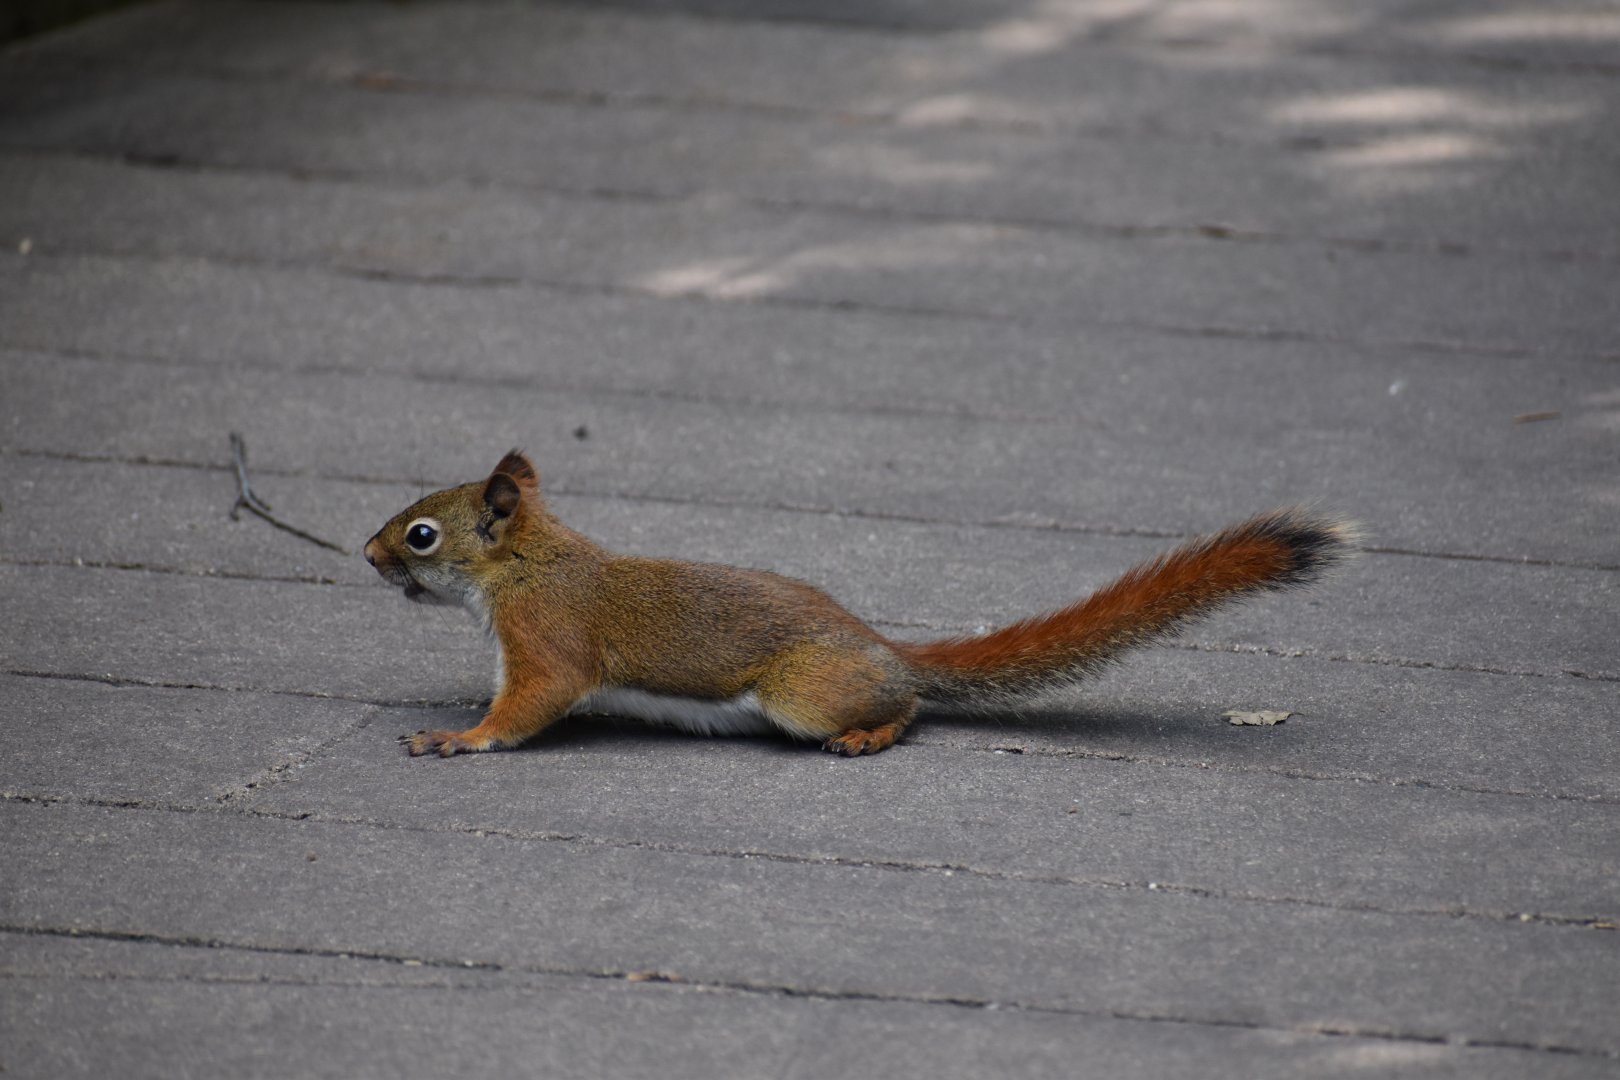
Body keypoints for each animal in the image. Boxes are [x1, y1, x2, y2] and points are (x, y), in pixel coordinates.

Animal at [365, 450, 1358, 758]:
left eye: (422, 535)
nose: (367, 554)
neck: (525, 565)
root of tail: (885, 647)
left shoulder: (546, 638)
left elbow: (530, 704)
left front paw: (460, 737)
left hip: (803, 692)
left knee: (907, 707)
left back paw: (872, 733)